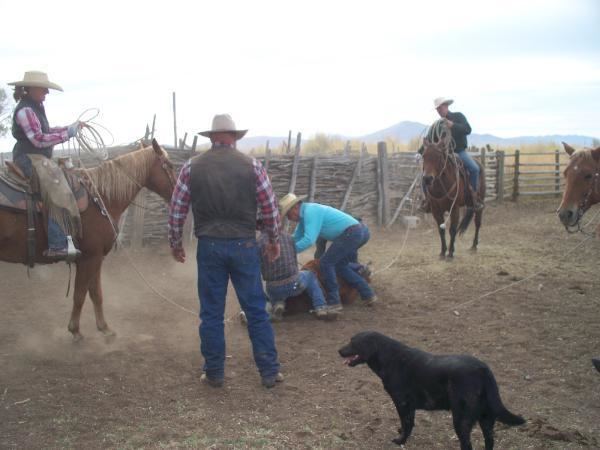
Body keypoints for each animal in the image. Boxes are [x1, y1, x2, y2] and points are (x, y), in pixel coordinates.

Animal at [0, 141, 177, 342]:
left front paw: (104, 328)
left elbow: (96, 293)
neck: (101, 198)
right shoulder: (89, 258)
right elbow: (80, 294)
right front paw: (75, 330)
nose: (177, 192)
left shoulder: (96, 258)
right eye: (170, 165)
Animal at [338, 330, 524, 450]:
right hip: (486, 418)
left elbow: (407, 423)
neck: (390, 358)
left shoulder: (402, 403)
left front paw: (400, 440)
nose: (338, 350)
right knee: (489, 441)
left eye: (353, 342)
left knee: (467, 445)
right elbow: (408, 423)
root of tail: (483, 369)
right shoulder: (409, 406)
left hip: (461, 419)